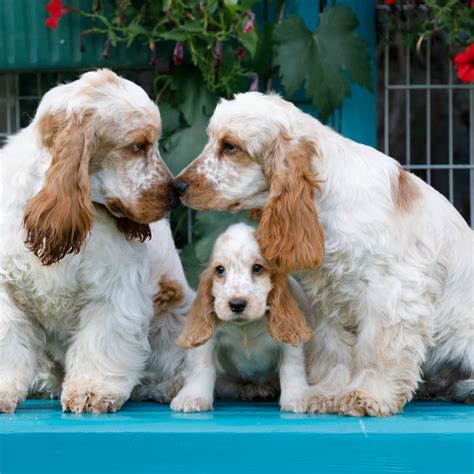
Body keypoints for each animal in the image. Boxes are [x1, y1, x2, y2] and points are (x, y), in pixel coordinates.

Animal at [0, 68, 193, 412]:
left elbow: (101, 343)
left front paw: (92, 392)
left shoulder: (116, 291)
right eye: (138, 146)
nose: (175, 193)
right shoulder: (7, 289)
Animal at [171, 224, 314, 412]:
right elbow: (202, 366)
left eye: (257, 268)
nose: (237, 304)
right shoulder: (207, 339)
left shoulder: (291, 339)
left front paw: (298, 397)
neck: (246, 326)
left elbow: (291, 367)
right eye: (220, 270)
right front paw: (193, 397)